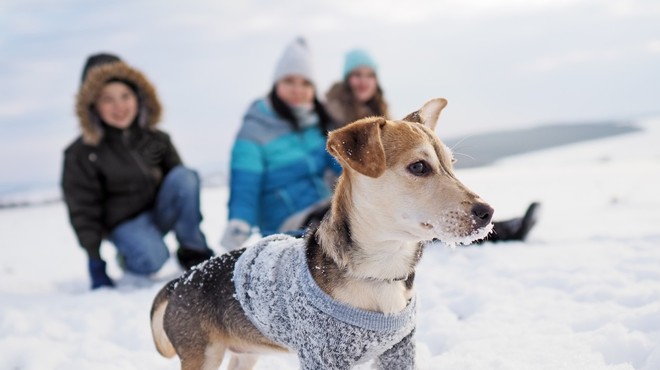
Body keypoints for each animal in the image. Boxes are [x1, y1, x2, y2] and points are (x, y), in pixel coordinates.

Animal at [150, 97, 490, 368]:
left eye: (452, 164)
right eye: (419, 167)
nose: (487, 212)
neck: (378, 272)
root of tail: (181, 280)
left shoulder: (399, 350)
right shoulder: (321, 355)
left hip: (245, 353)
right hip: (203, 354)